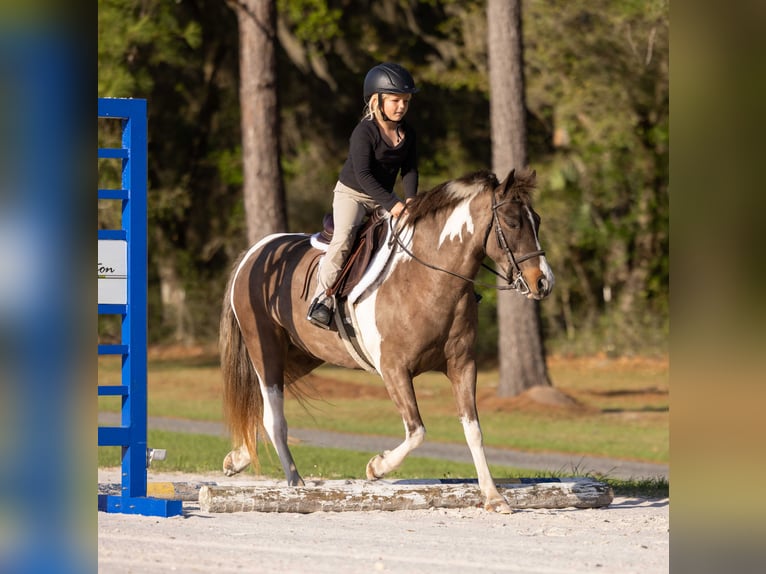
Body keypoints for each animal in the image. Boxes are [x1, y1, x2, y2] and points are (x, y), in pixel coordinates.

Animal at [219, 168, 554, 513]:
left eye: (537, 220)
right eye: (512, 222)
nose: (543, 282)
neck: (428, 279)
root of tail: (255, 253)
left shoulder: (462, 365)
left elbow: (473, 431)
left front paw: (493, 496)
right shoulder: (394, 370)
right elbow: (417, 431)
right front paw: (376, 467)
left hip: (302, 355)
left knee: (262, 405)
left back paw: (237, 458)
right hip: (265, 347)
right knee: (275, 416)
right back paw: (294, 482)